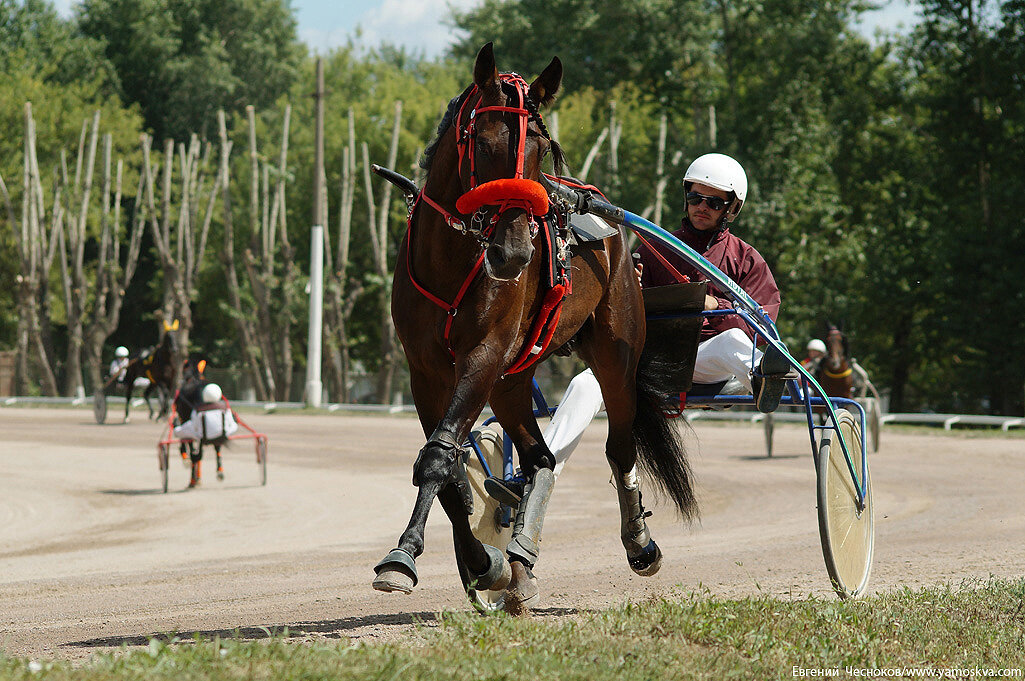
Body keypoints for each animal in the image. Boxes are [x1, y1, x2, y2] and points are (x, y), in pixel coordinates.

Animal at [373, 45, 701, 615]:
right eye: (483, 144)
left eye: (540, 149)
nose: (515, 254)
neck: (453, 259)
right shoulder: (425, 372)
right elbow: (449, 469)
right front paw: (481, 563)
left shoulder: (483, 354)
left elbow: (438, 456)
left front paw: (408, 557)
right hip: (510, 380)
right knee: (540, 459)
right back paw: (520, 560)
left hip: (615, 351)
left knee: (619, 446)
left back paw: (638, 543)